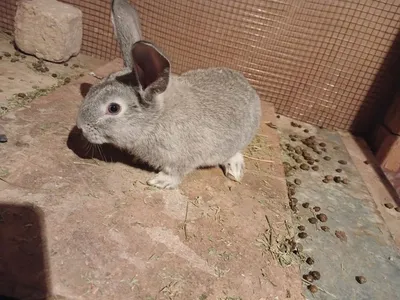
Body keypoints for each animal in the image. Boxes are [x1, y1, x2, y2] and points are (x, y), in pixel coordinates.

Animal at [76, 0, 260, 189]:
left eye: (113, 108)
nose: (81, 127)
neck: (155, 120)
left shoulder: (183, 158)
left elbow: (176, 173)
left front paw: (159, 181)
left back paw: (234, 169)